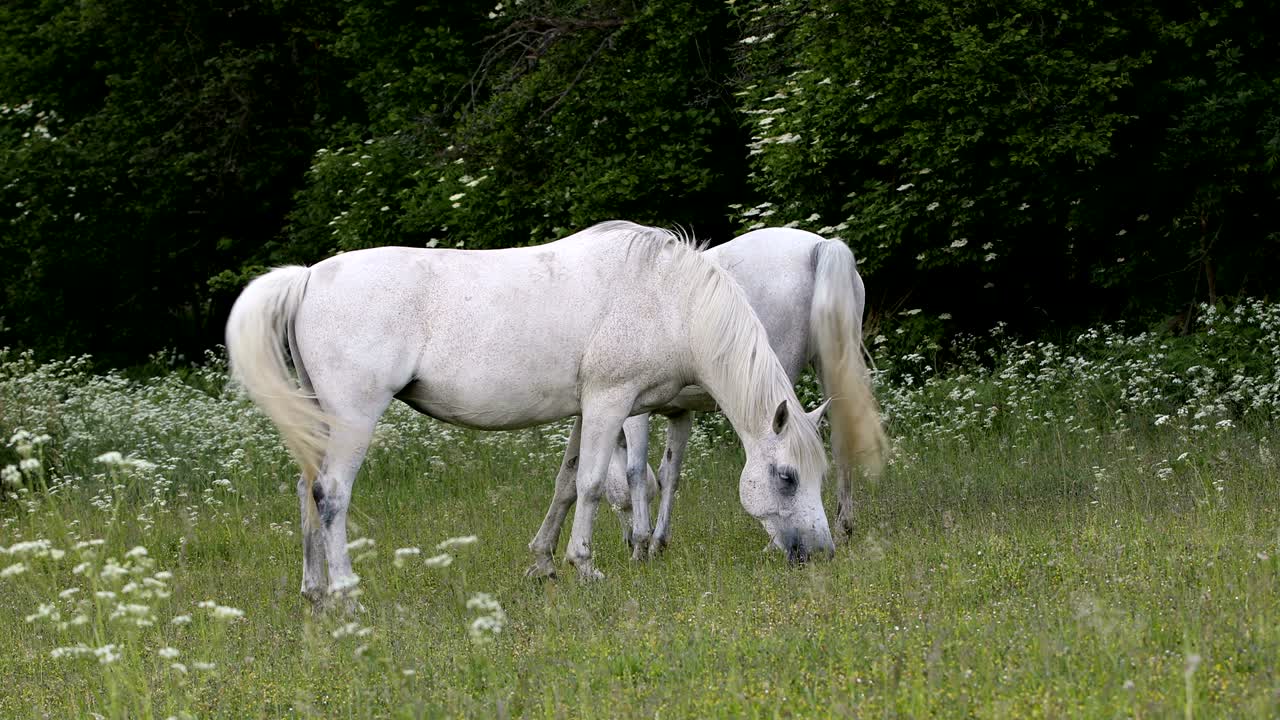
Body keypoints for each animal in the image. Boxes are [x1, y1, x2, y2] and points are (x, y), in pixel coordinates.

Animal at [225, 220, 835, 605]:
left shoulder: (587, 410)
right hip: (353, 418)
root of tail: (306, 277)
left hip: (320, 420)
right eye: (786, 476)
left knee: (306, 490)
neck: (665, 295)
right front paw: (585, 566)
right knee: (331, 495)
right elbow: (592, 484)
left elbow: (566, 483)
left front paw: (542, 563)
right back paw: (347, 596)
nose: (822, 553)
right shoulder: (610, 400)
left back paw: (316, 594)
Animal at [540, 227, 887, 560]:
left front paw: (641, 545)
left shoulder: (632, 414)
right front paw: (657, 542)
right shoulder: (680, 414)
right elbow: (669, 474)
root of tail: (820, 246)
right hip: (831, 367)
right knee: (840, 441)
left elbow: (635, 473)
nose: (626, 541)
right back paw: (843, 527)